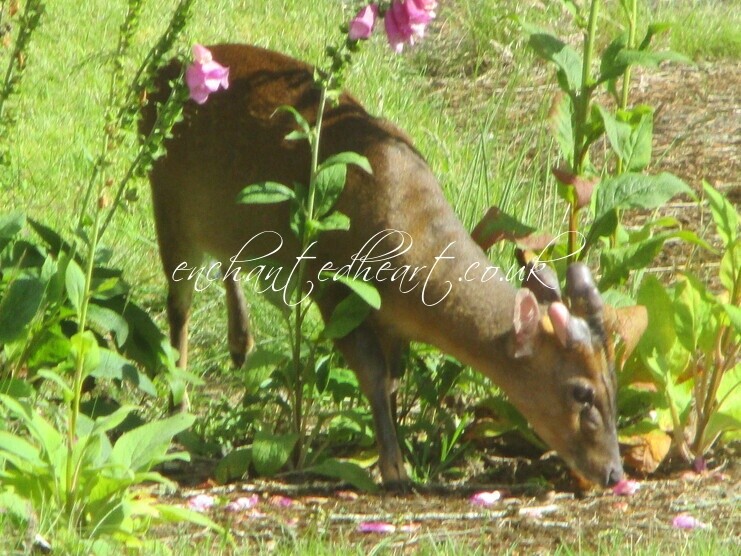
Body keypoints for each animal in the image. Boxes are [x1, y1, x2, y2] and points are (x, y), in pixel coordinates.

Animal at [140, 43, 628, 489]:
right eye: (580, 392)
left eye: (613, 383)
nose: (614, 473)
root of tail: (161, 73)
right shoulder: (332, 286)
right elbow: (374, 375)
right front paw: (395, 470)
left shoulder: (391, 321)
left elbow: (393, 380)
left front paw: (396, 455)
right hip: (168, 202)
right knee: (178, 306)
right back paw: (178, 414)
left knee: (226, 262)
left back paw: (241, 345)